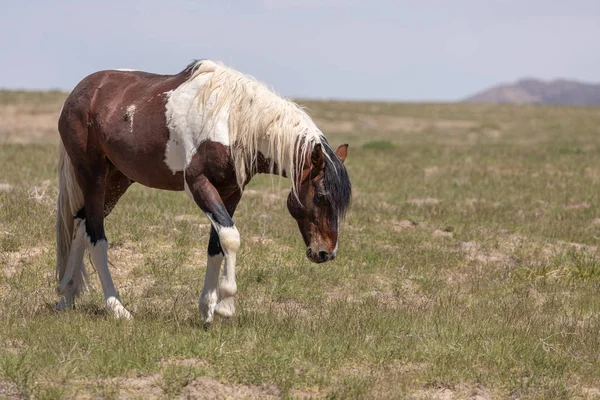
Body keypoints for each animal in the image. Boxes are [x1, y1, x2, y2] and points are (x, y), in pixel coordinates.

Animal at [56, 58, 352, 322]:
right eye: (321, 196)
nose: (326, 253)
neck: (233, 122)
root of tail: (80, 92)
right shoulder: (199, 185)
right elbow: (230, 237)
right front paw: (225, 306)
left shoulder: (231, 192)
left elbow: (216, 245)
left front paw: (207, 309)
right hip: (92, 176)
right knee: (96, 238)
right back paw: (117, 308)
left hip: (117, 179)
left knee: (81, 224)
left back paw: (66, 296)